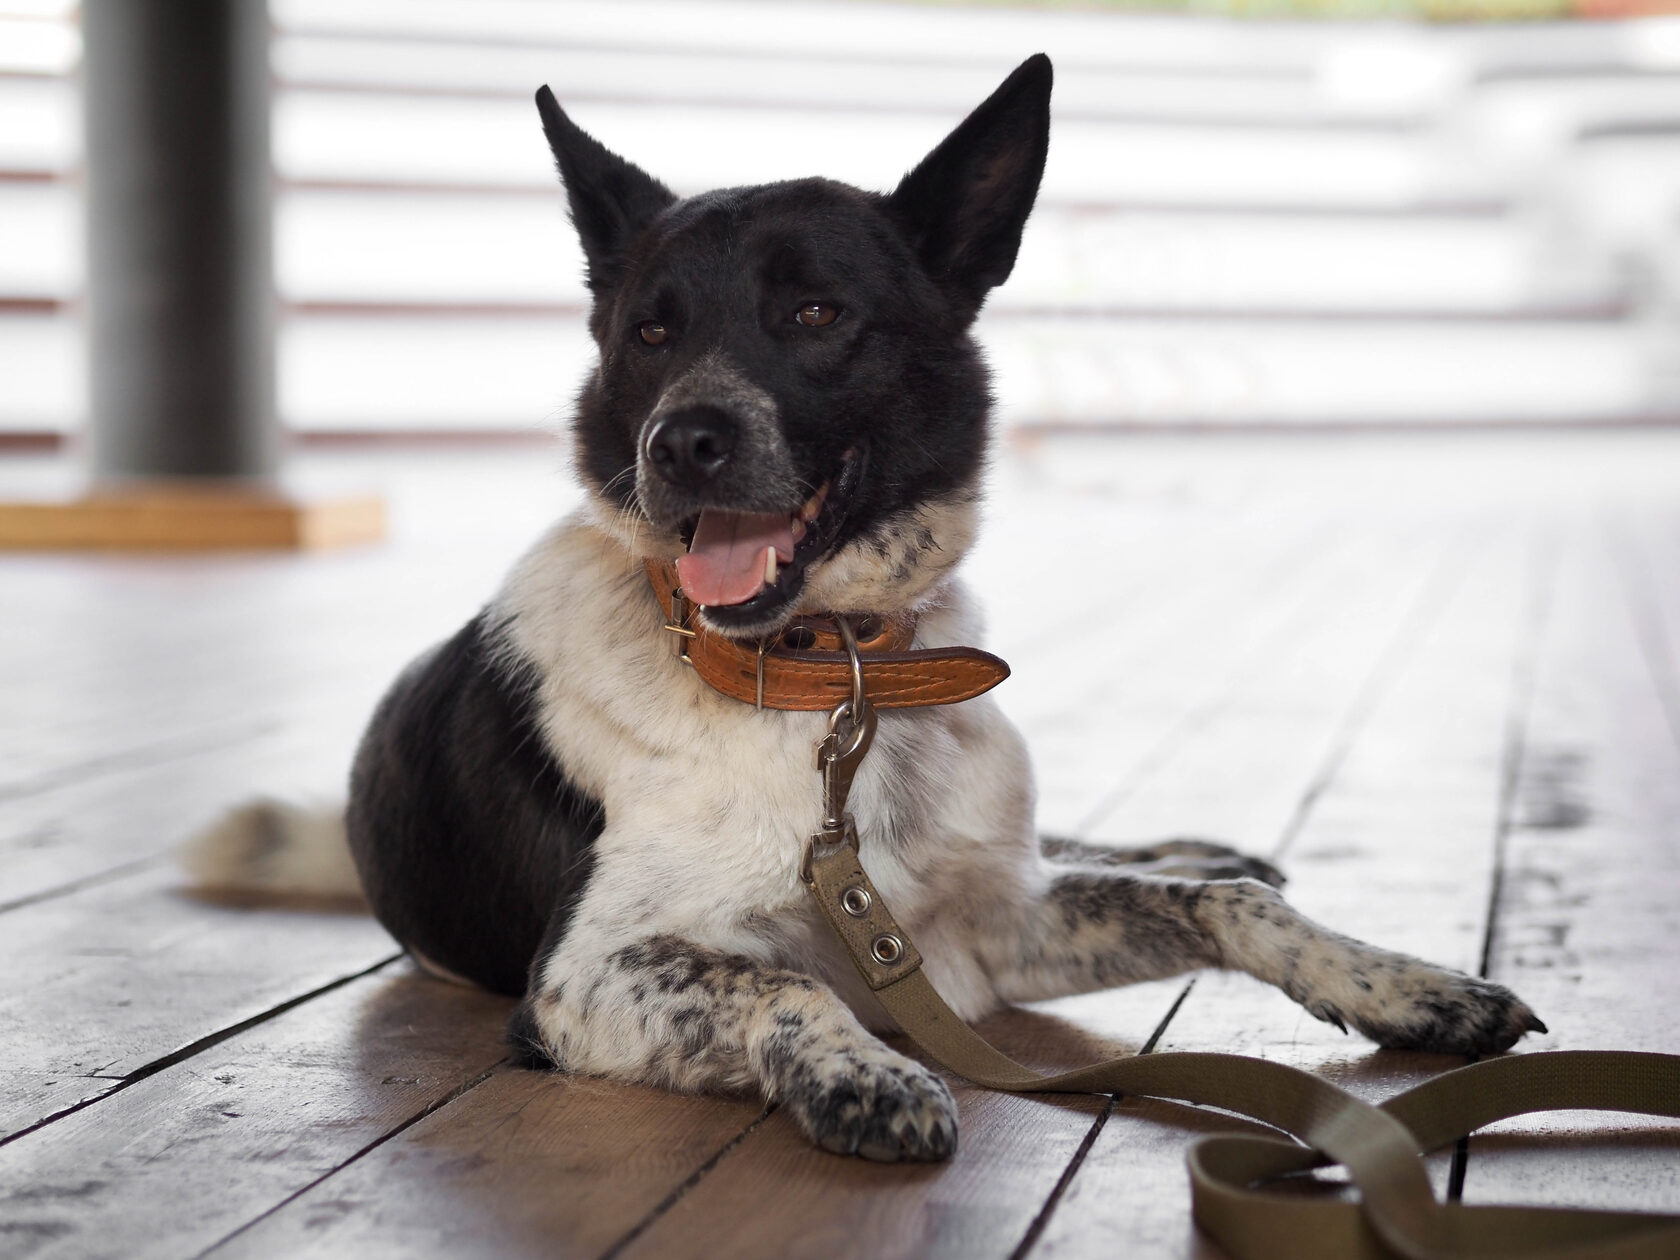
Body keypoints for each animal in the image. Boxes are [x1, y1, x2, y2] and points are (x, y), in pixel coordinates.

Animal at [190, 56, 1538, 1162]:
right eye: (649, 332)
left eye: (816, 313)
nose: (681, 443)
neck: (823, 674)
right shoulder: (583, 977)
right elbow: (785, 984)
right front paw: (861, 1074)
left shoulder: (990, 930)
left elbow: (1229, 906)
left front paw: (1406, 984)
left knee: (1126, 854)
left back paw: (1195, 842)